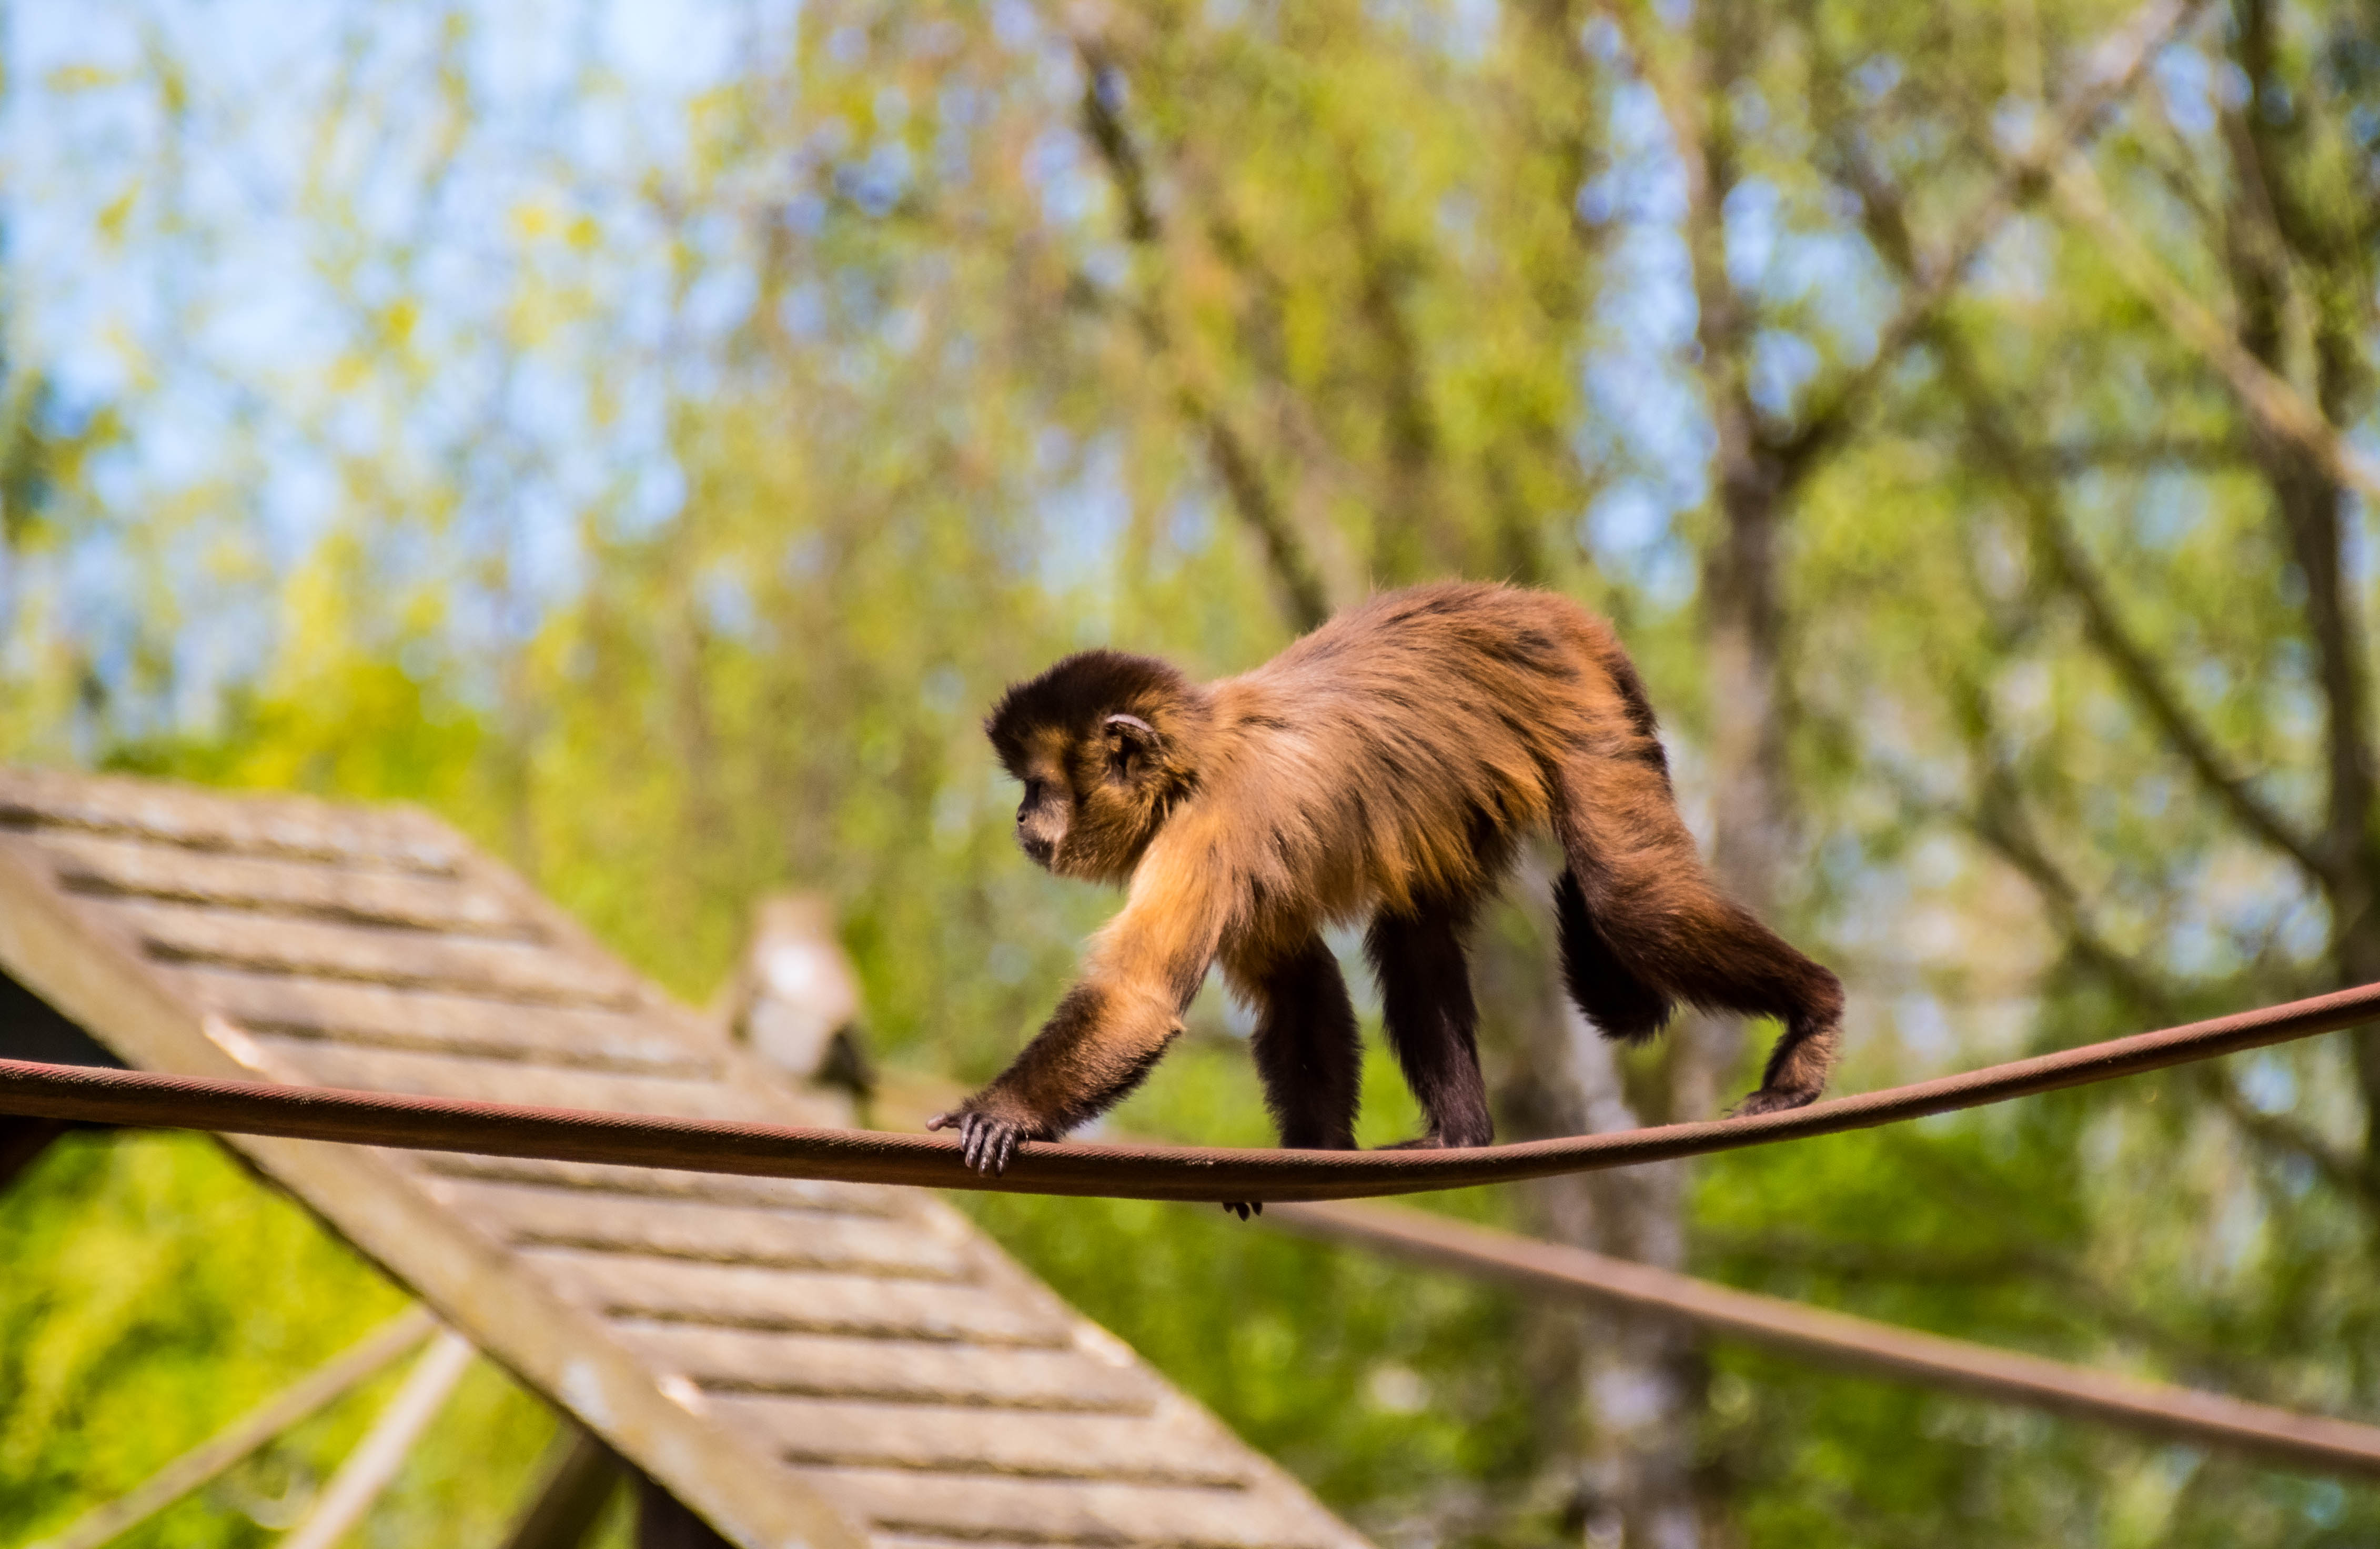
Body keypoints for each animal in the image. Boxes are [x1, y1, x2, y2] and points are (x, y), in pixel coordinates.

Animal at [928, 580, 1837, 1190]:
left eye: (1038, 787)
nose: (1019, 816)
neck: (1194, 764)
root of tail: (1543, 608)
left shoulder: (1207, 832)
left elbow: (1136, 1001)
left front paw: (1003, 1110)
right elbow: (1296, 983)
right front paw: (1308, 1158)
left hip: (1573, 705)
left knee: (1631, 894)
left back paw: (1814, 1013)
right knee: (1415, 932)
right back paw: (1460, 1139)